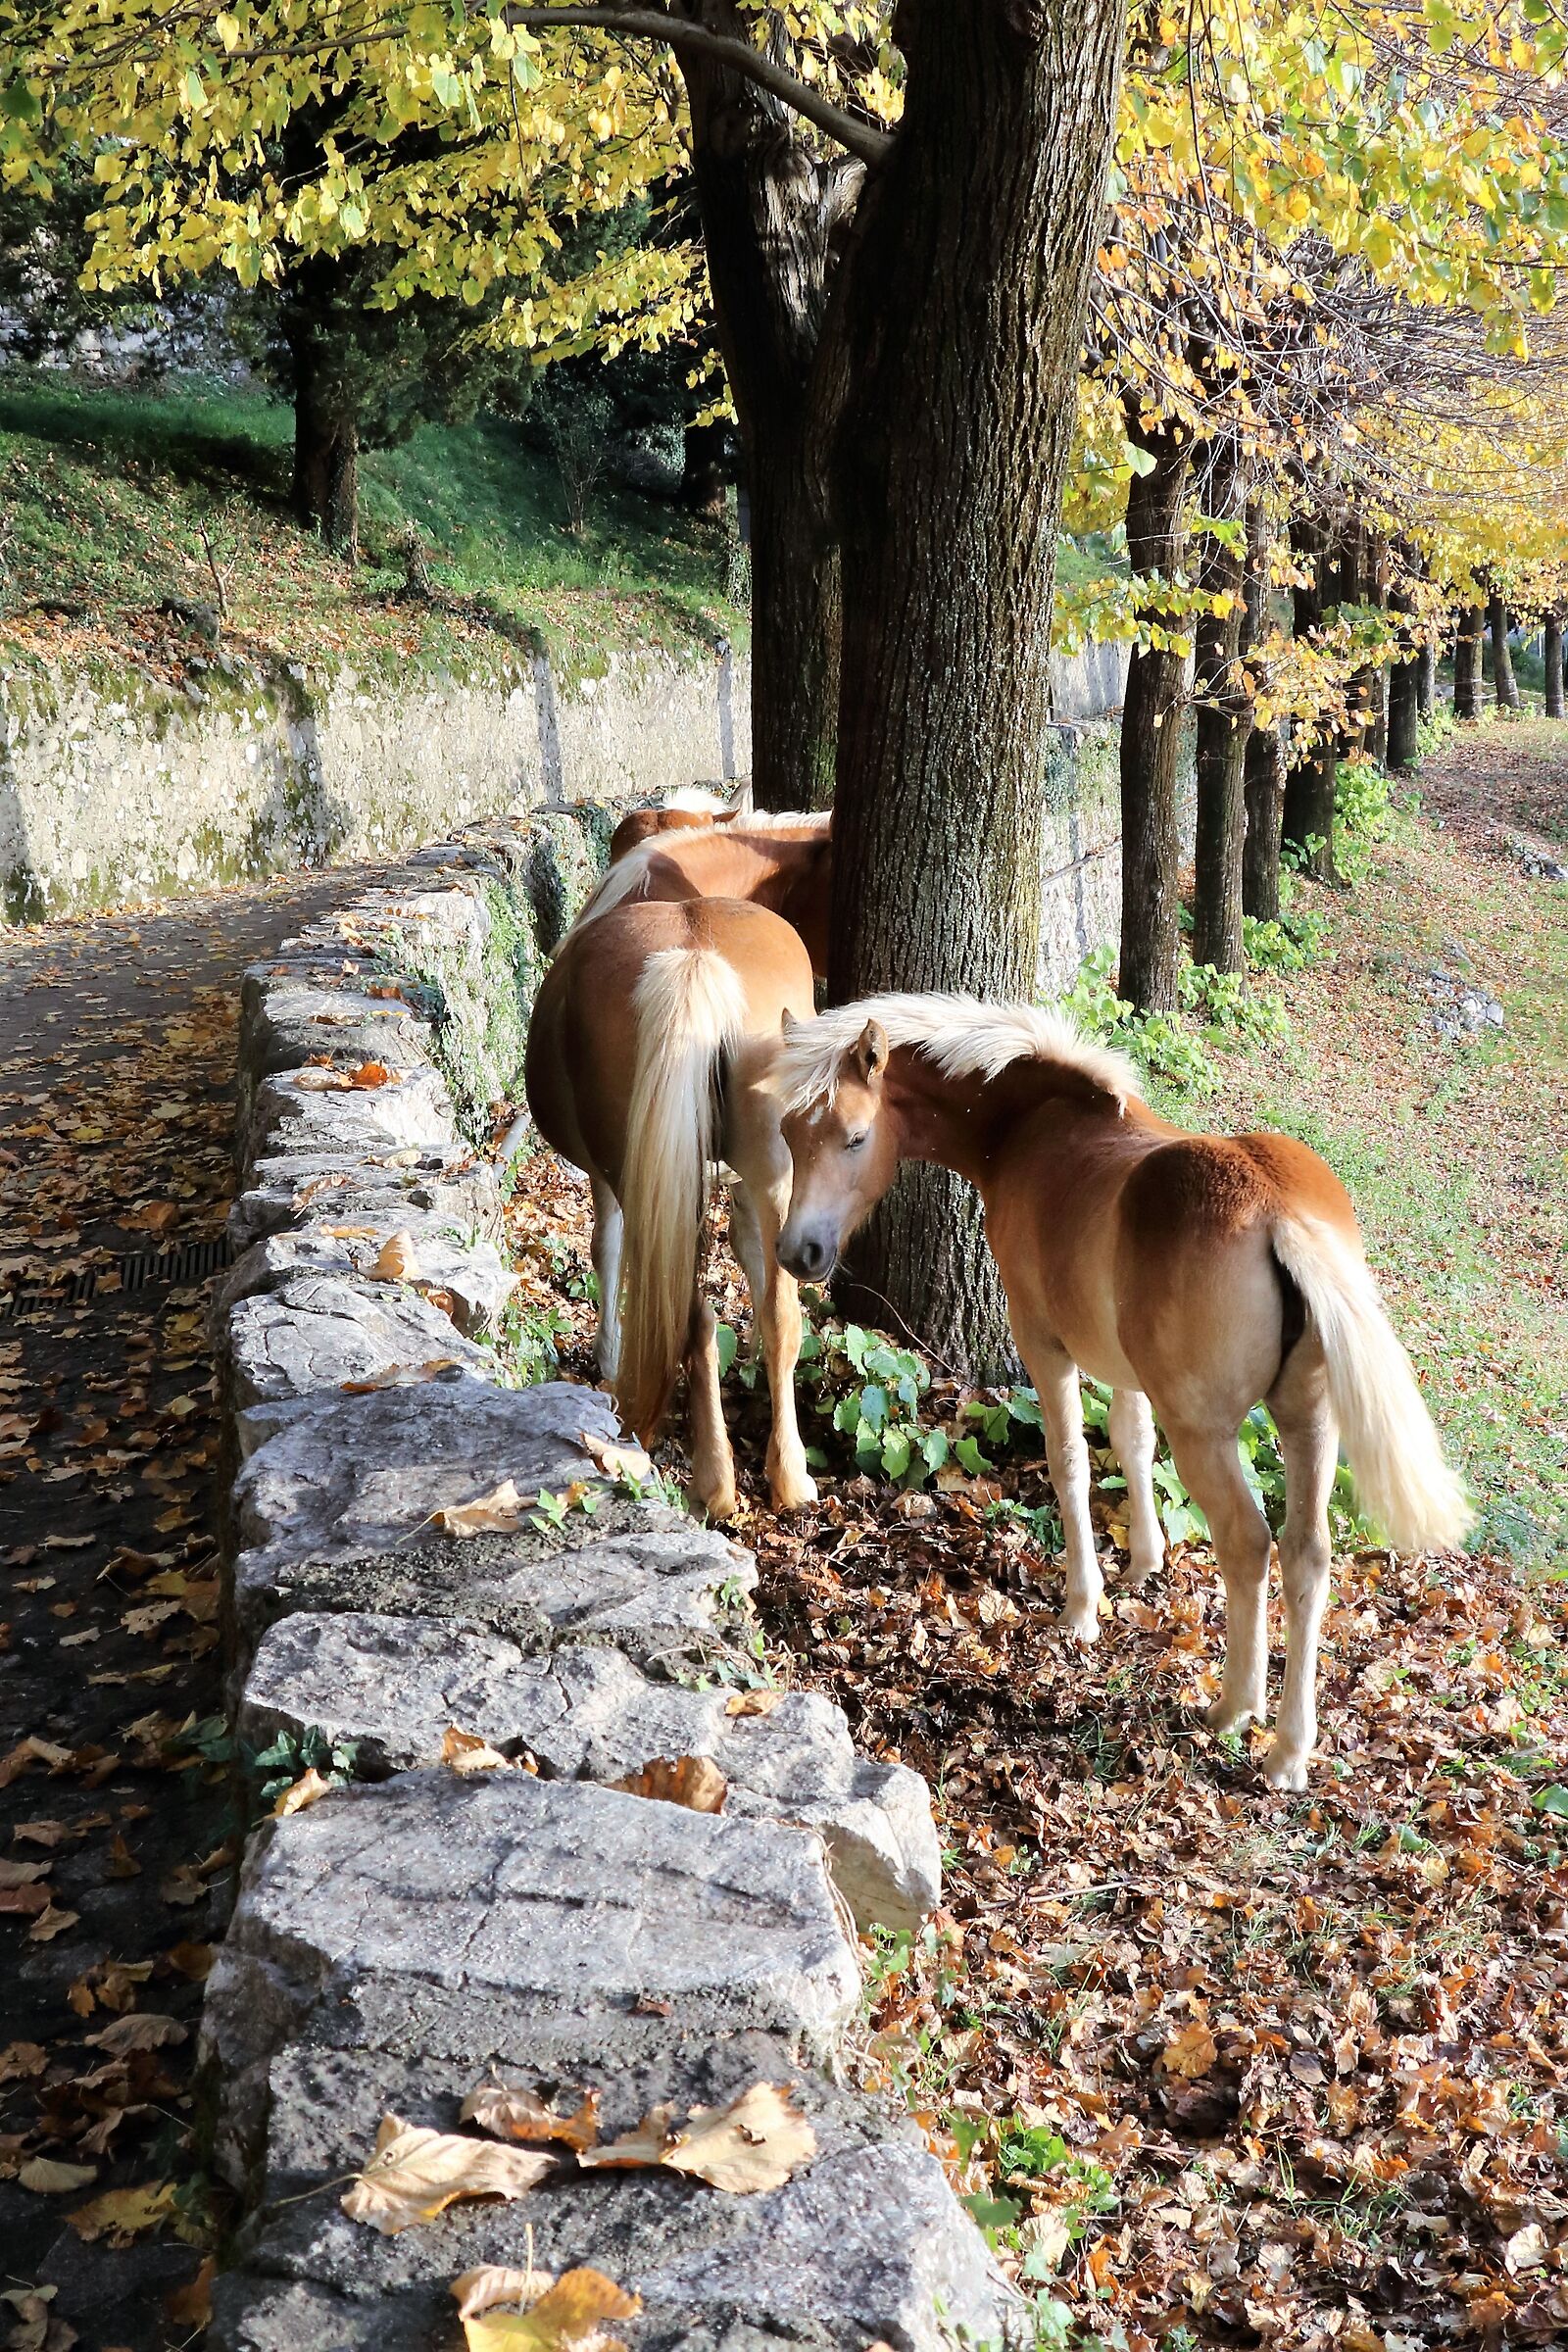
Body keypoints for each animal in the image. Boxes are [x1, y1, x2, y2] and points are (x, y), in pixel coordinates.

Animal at [525, 894, 819, 1519]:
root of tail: (694, 954)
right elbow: (756, 1268)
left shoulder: (607, 1179)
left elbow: (604, 1249)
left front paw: (610, 1359)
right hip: (773, 1167)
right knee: (781, 1311)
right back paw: (789, 1476)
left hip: (635, 1175)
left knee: (687, 1309)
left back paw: (713, 1482)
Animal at [766, 994, 1470, 1790]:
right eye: (790, 1132)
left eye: (854, 1137)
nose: (799, 1253)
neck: (1032, 1126)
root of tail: (1276, 1210)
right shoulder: (1128, 1372)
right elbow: (1132, 1444)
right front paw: (1144, 1563)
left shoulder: (1045, 1346)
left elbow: (1070, 1461)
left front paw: (1083, 1606)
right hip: (1307, 1421)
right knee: (1307, 1553)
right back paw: (1292, 1747)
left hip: (1207, 1434)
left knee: (1247, 1543)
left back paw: (1236, 1708)